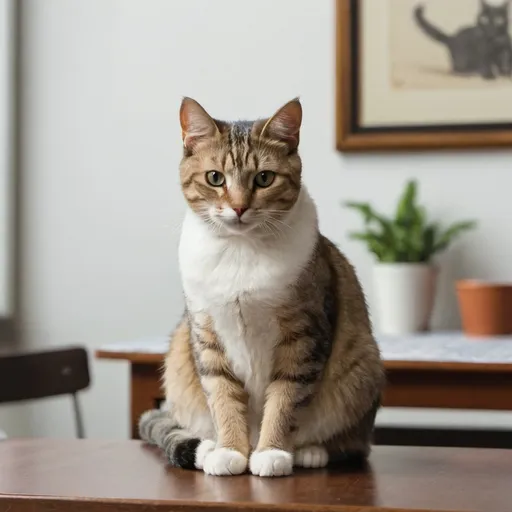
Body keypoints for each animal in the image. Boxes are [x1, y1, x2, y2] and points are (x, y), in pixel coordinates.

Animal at [138, 98, 382, 478]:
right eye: (215, 177)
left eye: (264, 178)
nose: (239, 207)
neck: (241, 250)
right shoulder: (207, 334)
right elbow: (222, 395)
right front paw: (230, 450)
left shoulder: (303, 335)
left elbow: (285, 398)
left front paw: (271, 452)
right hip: (180, 351)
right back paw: (212, 449)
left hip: (363, 367)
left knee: (353, 443)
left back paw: (309, 452)